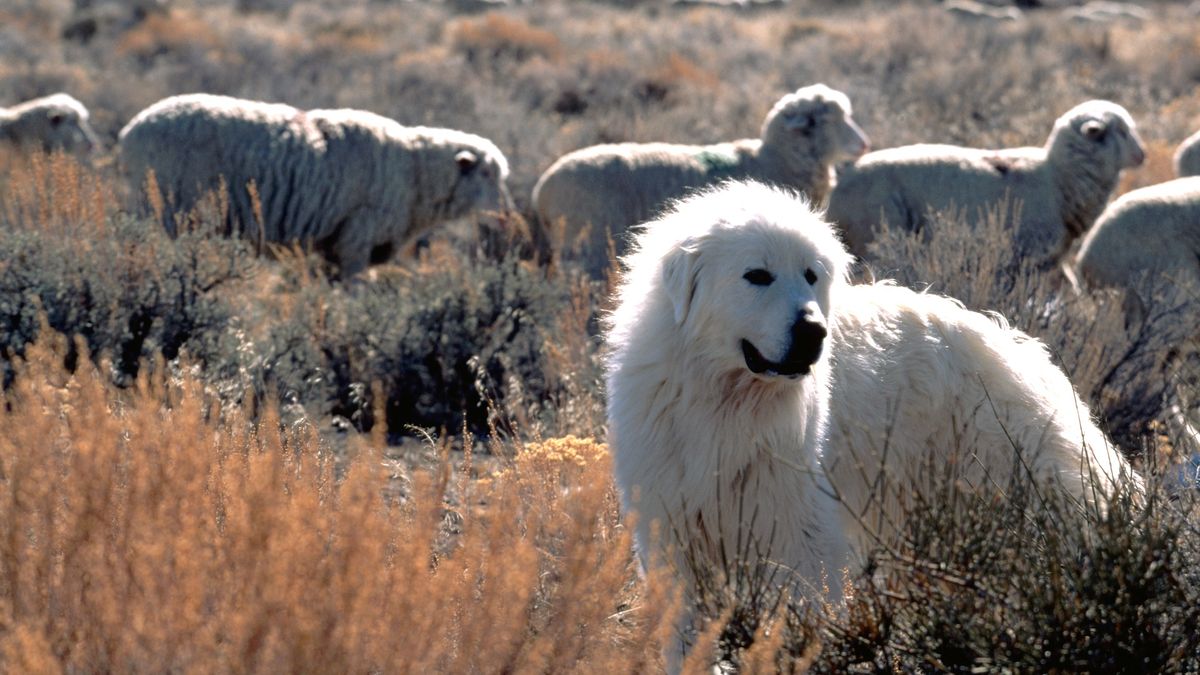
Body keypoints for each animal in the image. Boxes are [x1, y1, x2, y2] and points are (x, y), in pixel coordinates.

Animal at [119, 91, 513, 276]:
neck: (414, 172)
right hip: (167, 212)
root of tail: (130, 131)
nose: (507, 217)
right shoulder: (356, 240)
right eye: (487, 174)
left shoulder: (333, 248)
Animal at [604, 180, 849, 619]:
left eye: (811, 275)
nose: (814, 332)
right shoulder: (672, 529)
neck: (724, 398)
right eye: (757, 276)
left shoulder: (801, 532)